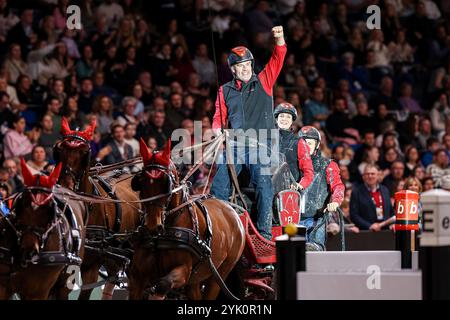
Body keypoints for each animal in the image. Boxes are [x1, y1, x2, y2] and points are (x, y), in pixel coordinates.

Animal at [0, 161, 85, 298]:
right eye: (23, 202)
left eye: (49, 208)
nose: (29, 251)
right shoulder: (3, 286)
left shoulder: (38, 292)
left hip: (65, 284)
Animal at [126, 140, 246, 300]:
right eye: (141, 182)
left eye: (166, 184)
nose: (152, 226)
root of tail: (232, 211)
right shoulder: (137, 276)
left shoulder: (183, 271)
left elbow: (162, 284)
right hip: (195, 279)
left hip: (220, 273)